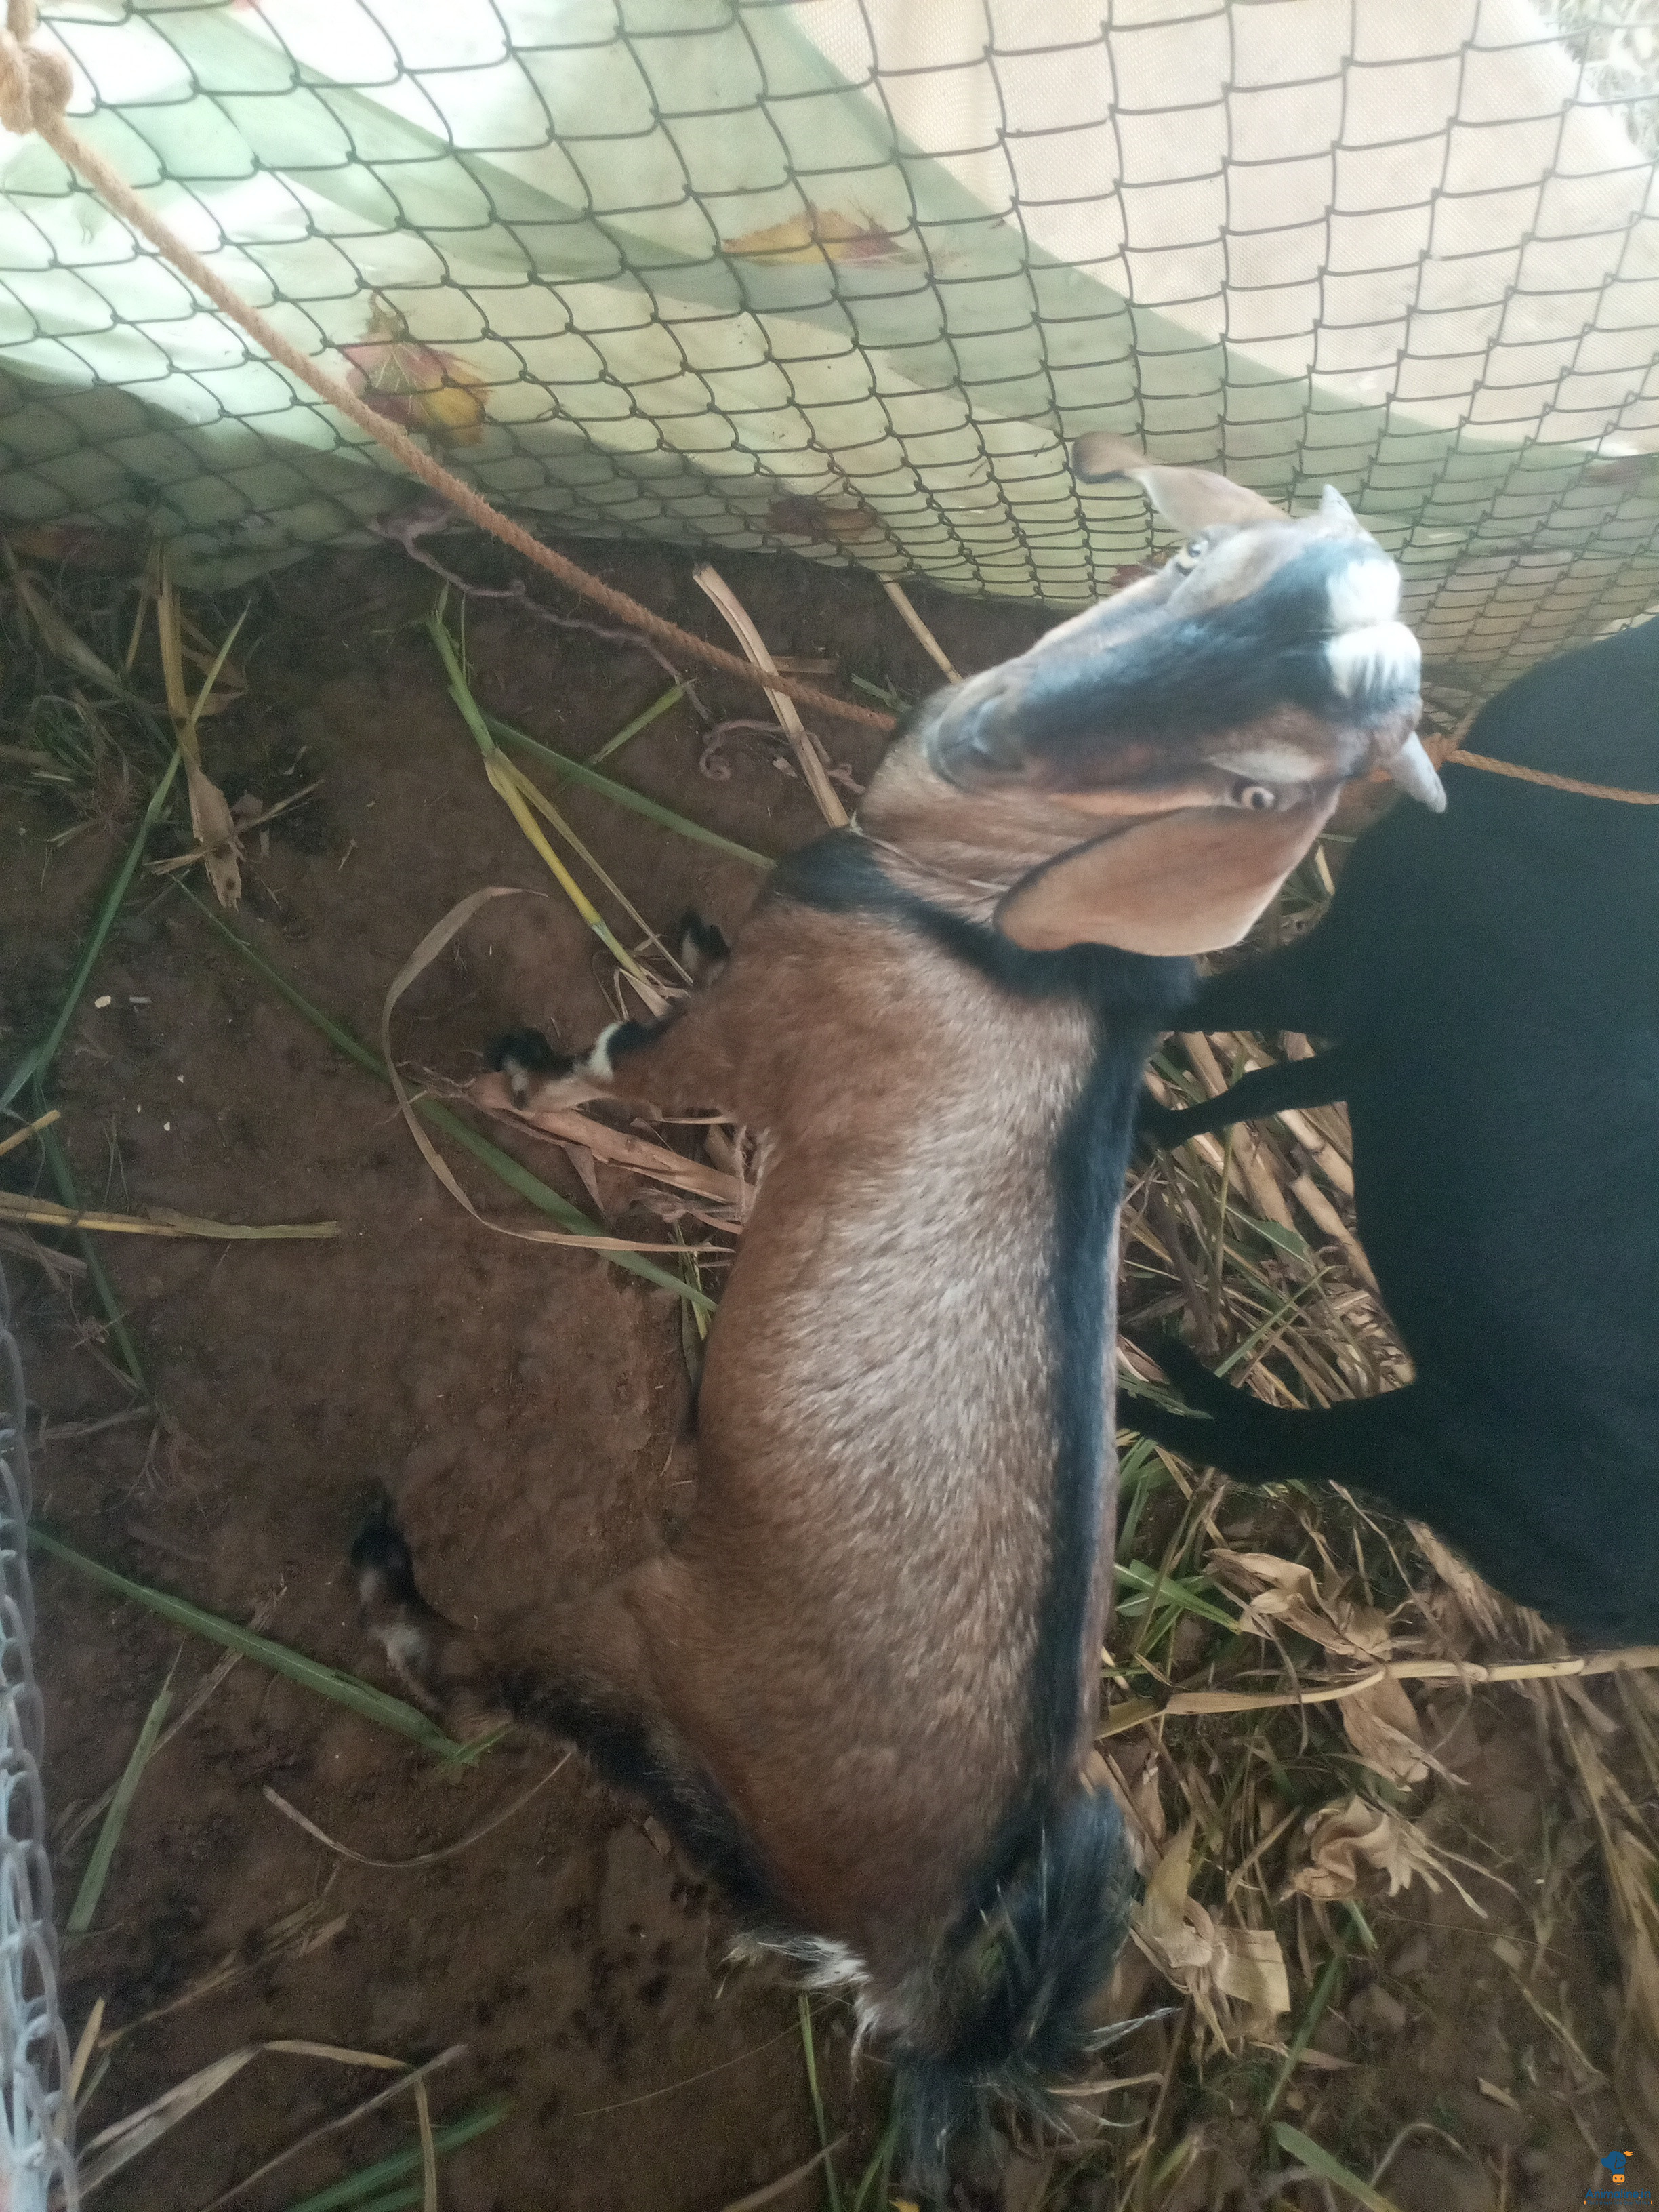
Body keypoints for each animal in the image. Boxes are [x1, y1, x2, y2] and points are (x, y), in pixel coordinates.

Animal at [352, 447, 1428, 2193]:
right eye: (1185, 563)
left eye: (1263, 778)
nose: (989, 737)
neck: (998, 923)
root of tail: (926, 1970)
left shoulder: (761, 1026)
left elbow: (633, 1065)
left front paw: (525, 1077)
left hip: (654, 1635)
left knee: (490, 1677)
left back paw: (388, 1572)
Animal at [1127, 615, 1659, 1645]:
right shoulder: (1388, 1042)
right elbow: (1262, 1083)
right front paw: (1158, 1128)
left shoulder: (1350, 966)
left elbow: (1211, 1006)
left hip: (1453, 1452)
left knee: (1266, 1449)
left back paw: (1152, 1386)